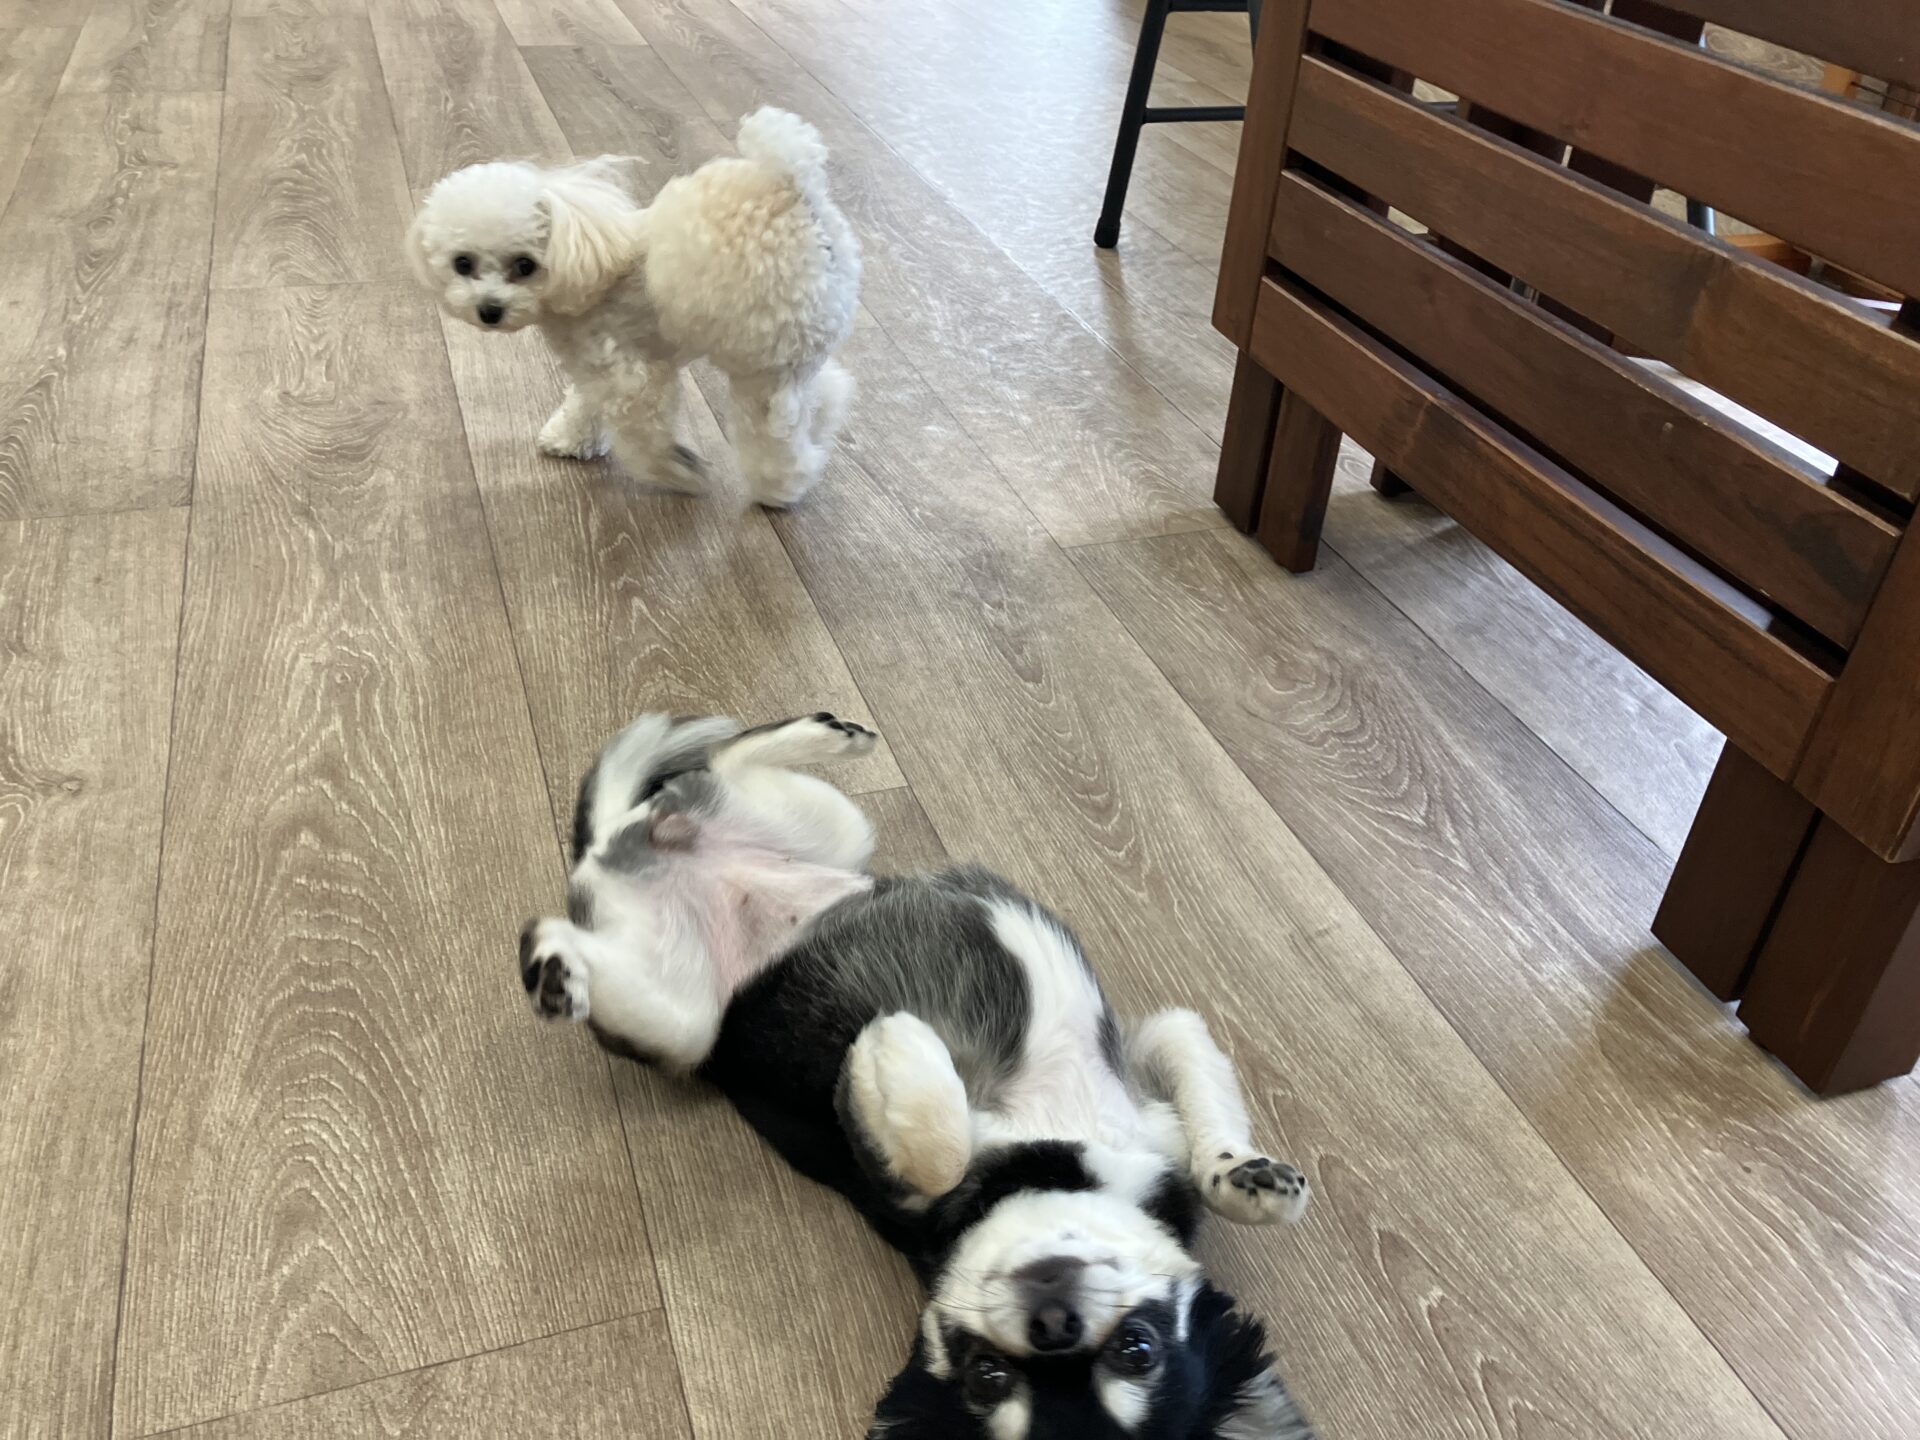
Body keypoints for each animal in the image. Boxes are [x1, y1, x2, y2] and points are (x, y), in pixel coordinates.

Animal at [407, 109, 860, 507]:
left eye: (524, 265)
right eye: (462, 263)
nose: (489, 310)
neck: (590, 263)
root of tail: (798, 190)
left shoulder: (631, 377)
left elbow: (642, 437)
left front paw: (678, 472)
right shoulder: (593, 367)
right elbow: (585, 403)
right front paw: (571, 438)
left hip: (764, 366)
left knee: (777, 434)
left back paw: (779, 490)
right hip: (789, 352)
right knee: (824, 391)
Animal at [520, 713, 1317, 1438]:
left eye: (1136, 1349)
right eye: (989, 1376)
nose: (1053, 1321)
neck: (1060, 1163)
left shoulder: (1160, 1046)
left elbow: (1195, 1118)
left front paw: (1241, 1174)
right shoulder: (1143, 1050)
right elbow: (946, 1151)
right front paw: (1247, 1180)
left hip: (710, 968)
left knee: (671, 815)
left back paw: (562, 956)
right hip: (726, 969)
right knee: (704, 771)